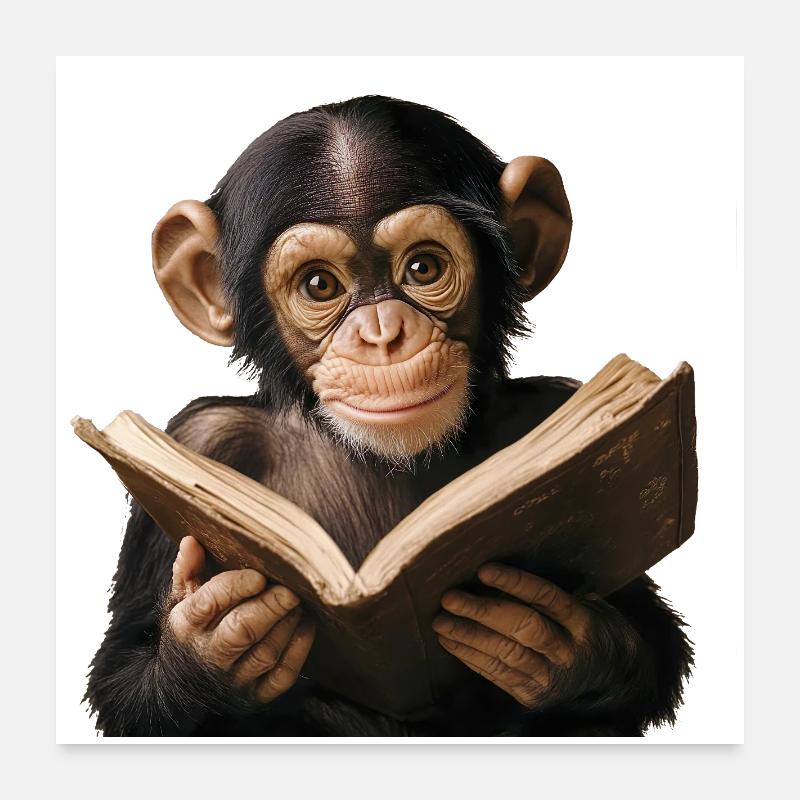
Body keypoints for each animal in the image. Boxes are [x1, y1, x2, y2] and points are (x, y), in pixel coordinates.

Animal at [85, 96, 693, 737]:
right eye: (319, 284)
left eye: (423, 268)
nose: (383, 334)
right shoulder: (200, 442)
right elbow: (124, 675)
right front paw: (215, 642)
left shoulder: (554, 412)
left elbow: (645, 633)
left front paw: (553, 638)